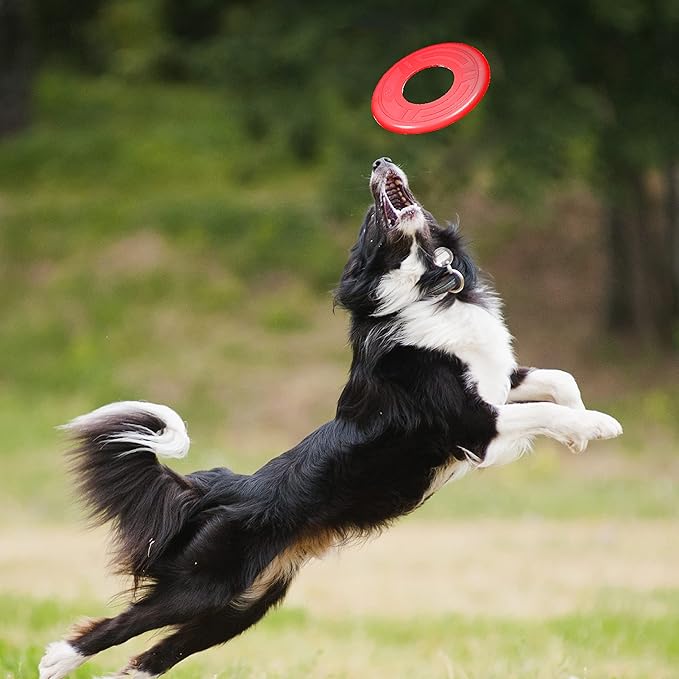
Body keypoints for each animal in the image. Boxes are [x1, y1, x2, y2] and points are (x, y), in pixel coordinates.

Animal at [37, 158, 620, 679]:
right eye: (368, 223)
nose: (381, 160)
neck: (431, 293)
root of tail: (226, 489)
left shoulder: (498, 381)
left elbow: (559, 381)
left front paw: (582, 428)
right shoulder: (472, 426)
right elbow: (544, 408)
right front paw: (596, 426)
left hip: (243, 606)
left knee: (149, 658)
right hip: (205, 585)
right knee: (121, 624)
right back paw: (56, 659)